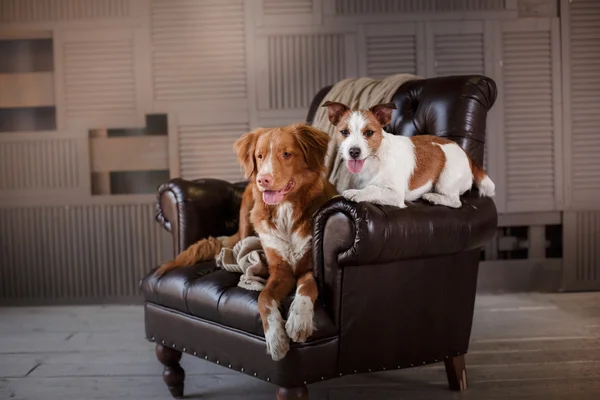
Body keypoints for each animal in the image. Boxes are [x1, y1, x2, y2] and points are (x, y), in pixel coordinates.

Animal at [324, 101, 496, 209]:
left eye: (369, 133)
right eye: (344, 132)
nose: (354, 152)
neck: (375, 160)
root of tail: (466, 154)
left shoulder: (395, 194)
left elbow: (372, 189)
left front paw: (356, 193)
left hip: (446, 180)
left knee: (455, 202)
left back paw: (433, 197)